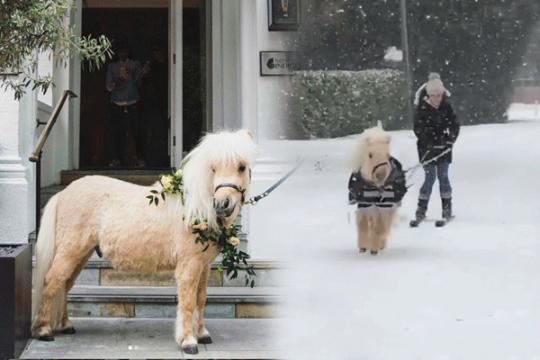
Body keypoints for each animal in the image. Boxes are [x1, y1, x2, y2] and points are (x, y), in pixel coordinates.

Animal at [32, 129, 260, 354]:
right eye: (213, 168)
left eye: (241, 167)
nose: (222, 204)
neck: (194, 208)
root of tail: (63, 193)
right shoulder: (189, 266)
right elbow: (187, 302)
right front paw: (188, 341)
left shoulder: (204, 266)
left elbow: (200, 299)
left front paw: (202, 334)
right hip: (69, 252)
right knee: (51, 282)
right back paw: (43, 330)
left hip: (80, 255)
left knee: (64, 285)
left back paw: (65, 325)